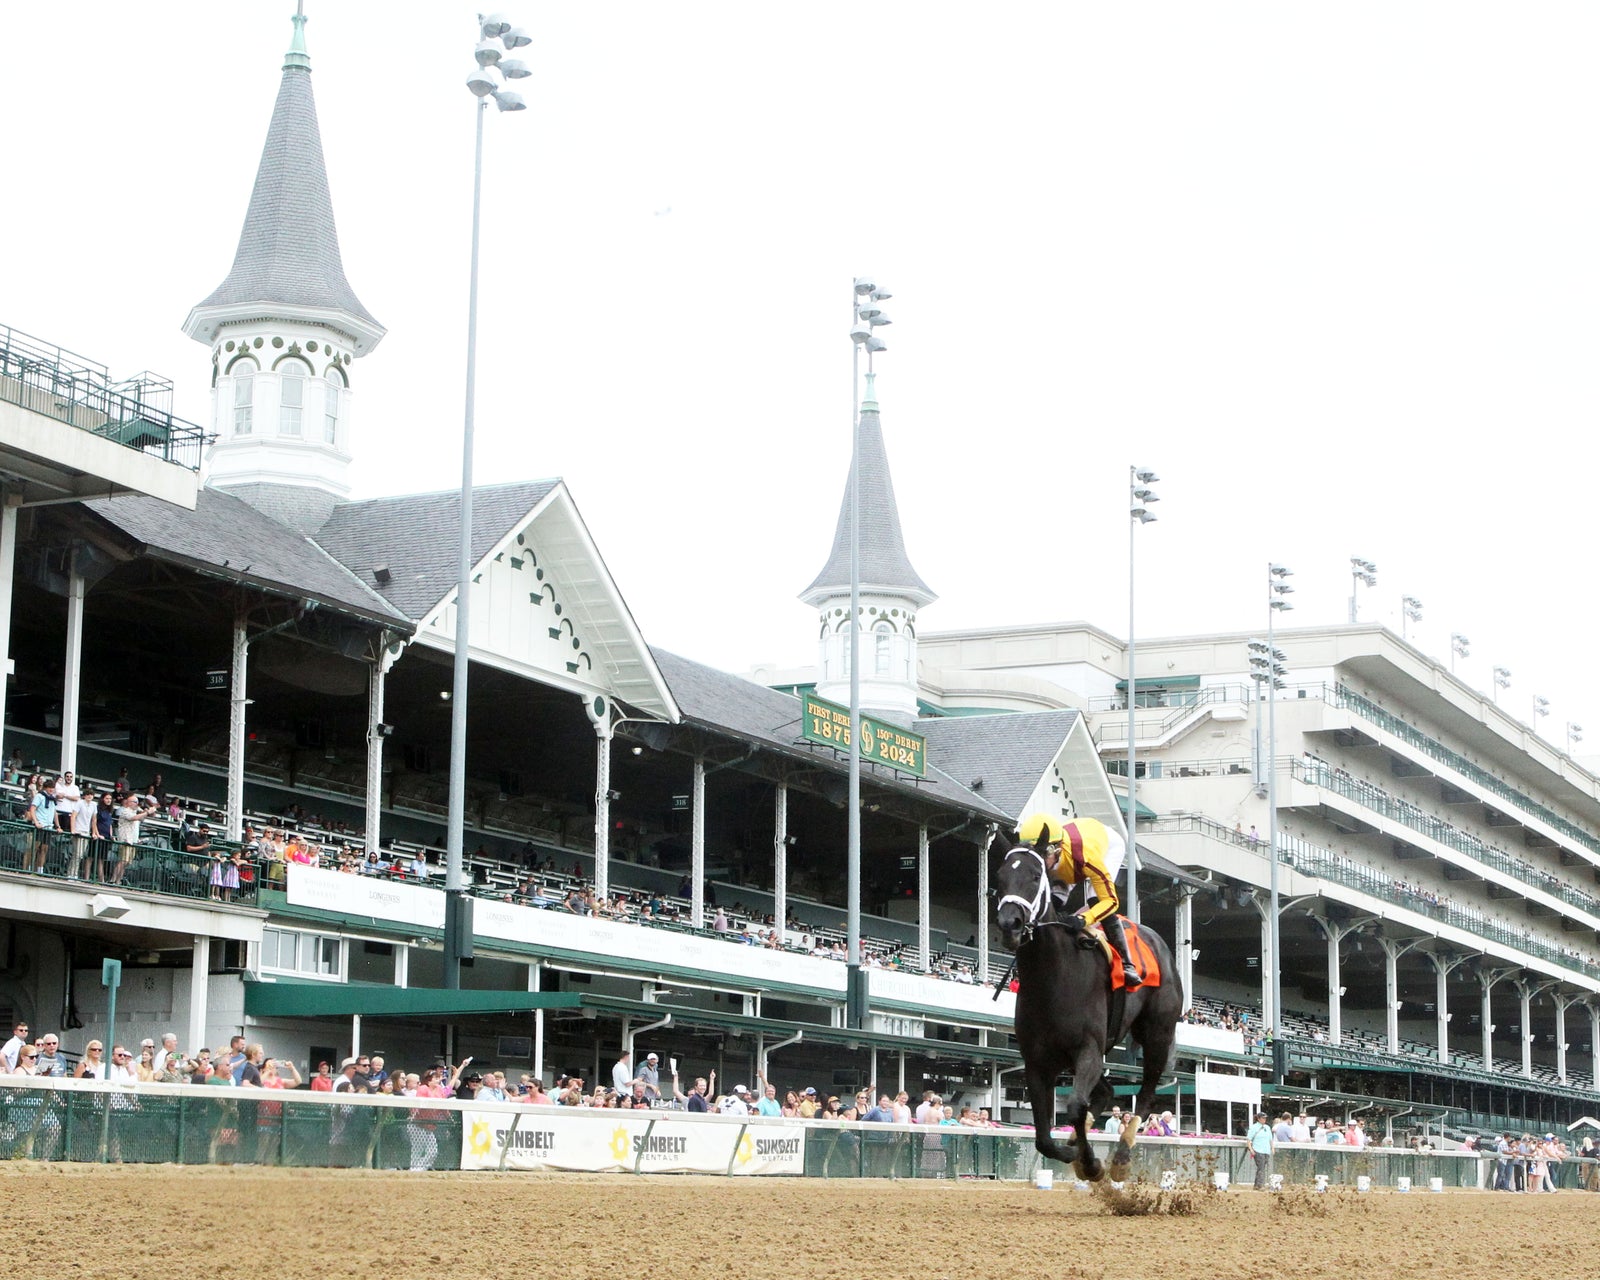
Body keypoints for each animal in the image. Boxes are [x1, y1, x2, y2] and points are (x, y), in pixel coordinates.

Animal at [992, 832, 1184, 1177]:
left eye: (1035, 876)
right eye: (999, 877)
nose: (1010, 923)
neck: (1053, 979)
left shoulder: (1088, 1049)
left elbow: (1075, 1106)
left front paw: (1091, 1162)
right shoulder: (1037, 1061)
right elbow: (1043, 1136)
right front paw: (1074, 1152)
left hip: (1158, 1034)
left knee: (1146, 1092)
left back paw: (1121, 1154)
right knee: (1107, 1091)